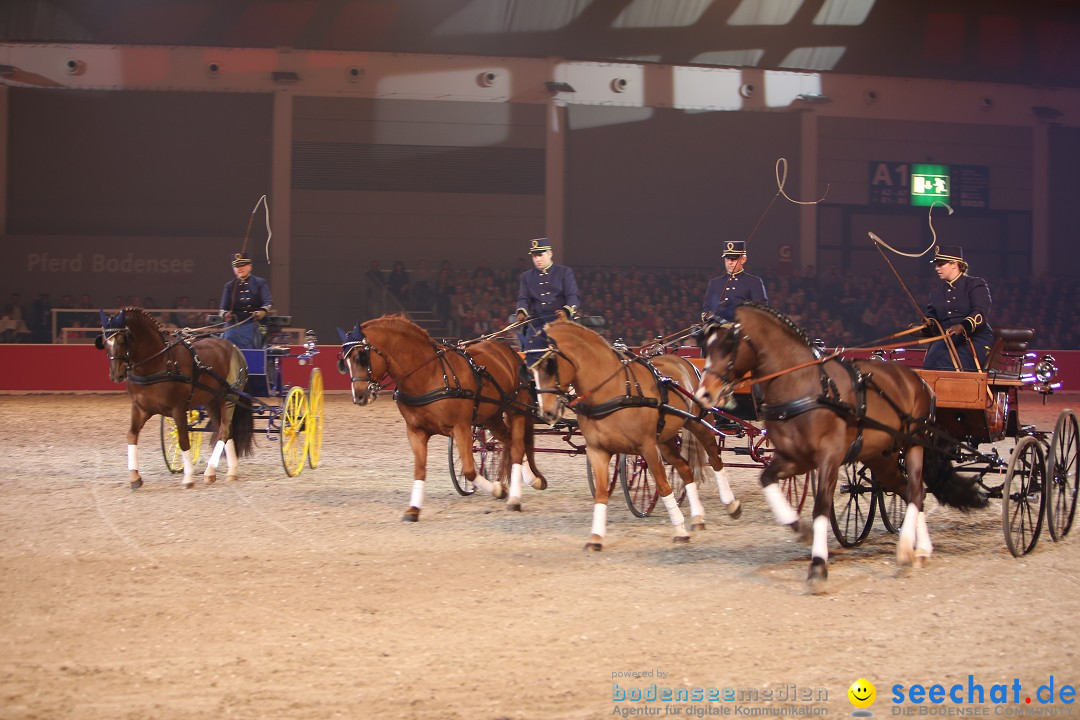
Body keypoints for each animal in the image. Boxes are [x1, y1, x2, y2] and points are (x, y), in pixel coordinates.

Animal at [96, 308, 254, 490]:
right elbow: (132, 435)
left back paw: (209, 471)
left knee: (224, 430)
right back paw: (230, 471)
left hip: (228, 397)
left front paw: (188, 478)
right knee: (226, 429)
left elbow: (183, 440)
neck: (158, 362)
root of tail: (233, 347)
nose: (116, 375)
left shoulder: (178, 409)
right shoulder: (140, 408)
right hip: (212, 401)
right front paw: (135, 477)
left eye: (122, 340)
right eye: (105, 342)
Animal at [336, 315, 544, 518]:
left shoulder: (461, 428)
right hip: (491, 416)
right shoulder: (416, 431)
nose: (359, 396)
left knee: (517, 447)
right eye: (344, 362)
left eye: (362, 357)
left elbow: (469, 470)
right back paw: (531, 480)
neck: (428, 375)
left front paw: (498, 490)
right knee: (509, 442)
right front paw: (413, 508)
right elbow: (420, 470)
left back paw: (516, 497)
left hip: (517, 408)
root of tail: (507, 349)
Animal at [531, 317, 743, 548]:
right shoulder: (597, 450)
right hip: (666, 439)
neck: (613, 391)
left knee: (715, 459)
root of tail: (685, 361)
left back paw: (731, 505)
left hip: (699, 424)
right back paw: (698, 517)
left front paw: (679, 530)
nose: (547, 412)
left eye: (550, 365)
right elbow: (601, 493)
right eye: (530, 369)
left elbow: (663, 487)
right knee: (685, 469)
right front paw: (596, 537)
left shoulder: (647, 447)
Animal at [691, 304, 989, 591]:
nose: (703, 394)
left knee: (916, 491)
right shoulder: (794, 458)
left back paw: (907, 550)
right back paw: (921, 549)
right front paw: (799, 528)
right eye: (706, 346)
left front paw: (818, 566)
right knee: (907, 490)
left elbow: (822, 505)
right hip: (882, 457)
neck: (803, 385)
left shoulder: (829, 457)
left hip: (914, 443)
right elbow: (766, 479)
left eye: (728, 345)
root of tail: (920, 381)